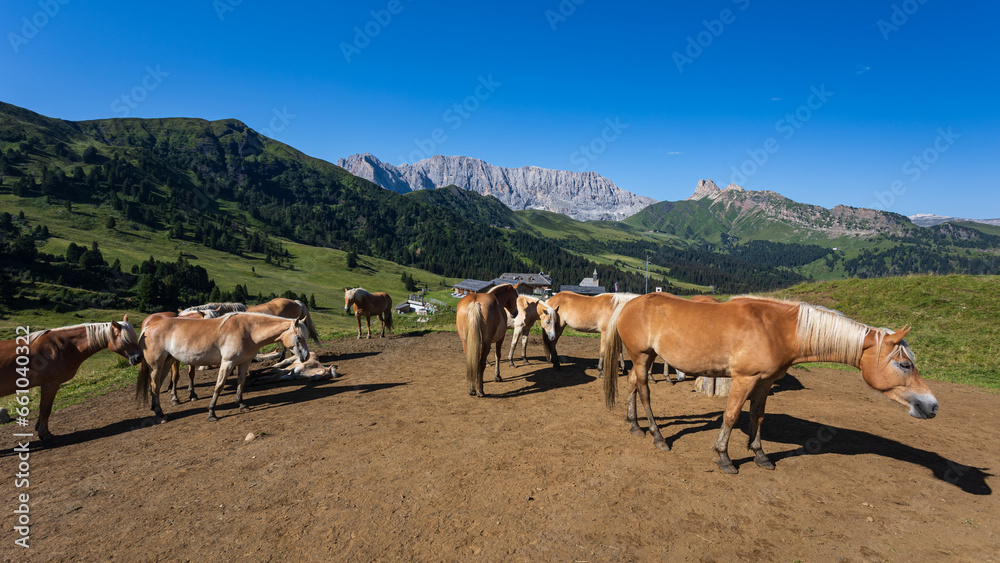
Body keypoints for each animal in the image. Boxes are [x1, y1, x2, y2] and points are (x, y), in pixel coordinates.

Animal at [0, 316, 140, 440]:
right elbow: (45, 410)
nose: (138, 358)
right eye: (125, 340)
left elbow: (42, 410)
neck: (59, 347)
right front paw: (44, 433)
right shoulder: (50, 384)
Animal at [136, 312, 309, 422]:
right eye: (299, 337)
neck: (248, 331)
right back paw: (161, 414)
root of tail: (148, 328)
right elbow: (219, 386)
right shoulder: (227, 362)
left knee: (157, 386)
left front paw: (241, 405)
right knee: (154, 386)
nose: (306, 357)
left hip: (167, 363)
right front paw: (211, 413)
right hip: (157, 365)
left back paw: (157, 410)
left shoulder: (244, 362)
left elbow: (241, 383)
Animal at [602, 293, 939, 474]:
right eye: (904, 364)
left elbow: (758, 416)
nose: (932, 406)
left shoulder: (764, 383)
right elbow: (731, 416)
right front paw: (724, 457)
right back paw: (658, 436)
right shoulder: (744, 379)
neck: (776, 329)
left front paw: (760, 454)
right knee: (644, 391)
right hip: (642, 356)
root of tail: (630, 303)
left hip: (642, 358)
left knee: (632, 384)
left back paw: (634, 425)